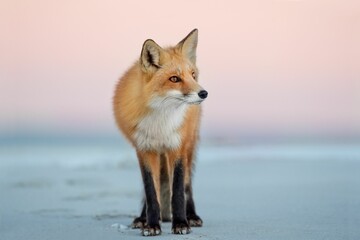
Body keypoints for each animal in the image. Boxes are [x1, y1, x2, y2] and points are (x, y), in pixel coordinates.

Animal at [112, 28, 208, 236]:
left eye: (192, 75)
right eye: (174, 79)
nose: (203, 93)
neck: (160, 124)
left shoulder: (176, 147)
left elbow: (178, 191)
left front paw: (180, 223)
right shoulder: (144, 149)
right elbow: (150, 192)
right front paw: (151, 225)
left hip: (189, 146)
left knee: (188, 185)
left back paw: (192, 215)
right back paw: (142, 218)